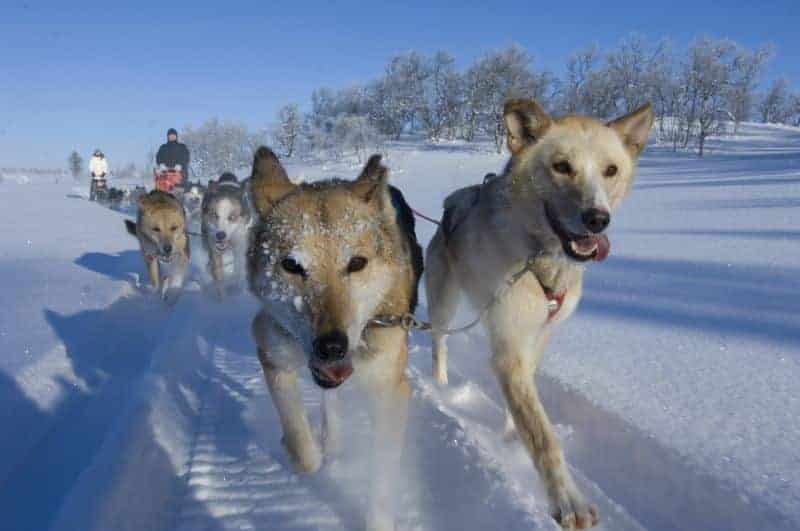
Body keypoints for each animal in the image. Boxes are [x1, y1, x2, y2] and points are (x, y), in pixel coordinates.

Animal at [248, 147, 424, 531]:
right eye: (292, 265)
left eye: (356, 263)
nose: (331, 347)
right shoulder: (271, 351)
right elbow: (303, 451)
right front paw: (297, 447)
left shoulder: (390, 391)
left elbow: (382, 482)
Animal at [422, 98, 652, 528]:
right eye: (562, 166)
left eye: (611, 170)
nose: (598, 218)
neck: (541, 258)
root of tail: (450, 205)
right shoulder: (509, 346)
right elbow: (544, 437)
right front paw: (568, 500)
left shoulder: (538, 336)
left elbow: (526, 405)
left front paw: (512, 434)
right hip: (444, 304)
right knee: (438, 344)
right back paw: (441, 384)